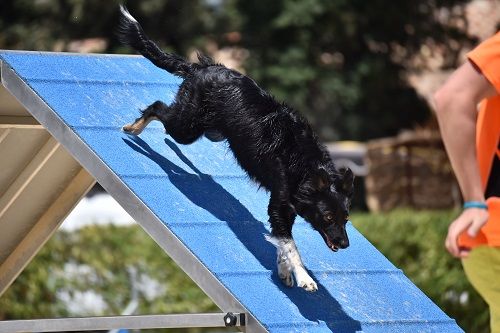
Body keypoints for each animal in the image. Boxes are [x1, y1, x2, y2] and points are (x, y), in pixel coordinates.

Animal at [118, 5, 352, 290]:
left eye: (346, 218)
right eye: (328, 217)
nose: (345, 244)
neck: (305, 166)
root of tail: (202, 67)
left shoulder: (284, 209)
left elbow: (282, 243)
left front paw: (284, 271)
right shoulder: (280, 205)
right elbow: (291, 246)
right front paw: (304, 277)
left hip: (212, 133)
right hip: (187, 128)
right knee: (158, 108)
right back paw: (134, 128)